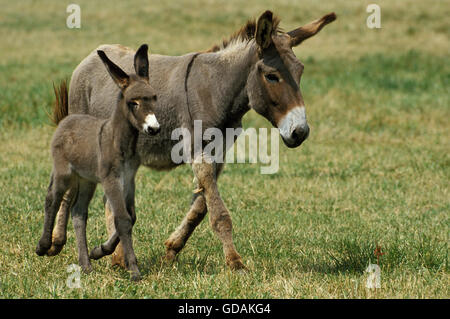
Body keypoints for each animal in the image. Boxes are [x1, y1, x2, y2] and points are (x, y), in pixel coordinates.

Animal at [37, 45, 160, 282]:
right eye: (133, 102)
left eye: (154, 98)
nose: (154, 129)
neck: (119, 140)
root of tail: (67, 119)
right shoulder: (111, 179)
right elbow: (122, 219)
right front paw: (134, 271)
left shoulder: (128, 179)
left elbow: (131, 217)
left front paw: (98, 251)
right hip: (64, 173)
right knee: (52, 199)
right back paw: (43, 246)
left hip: (86, 180)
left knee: (78, 212)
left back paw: (86, 265)